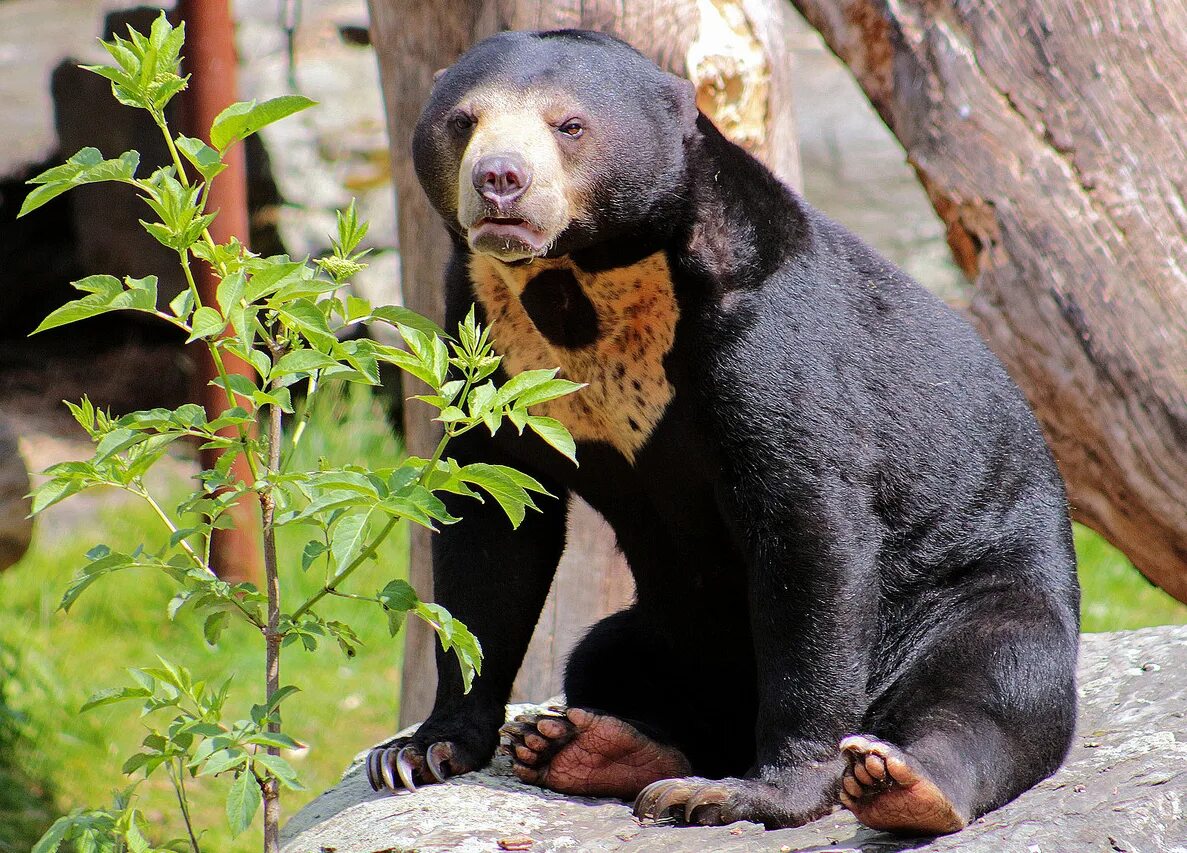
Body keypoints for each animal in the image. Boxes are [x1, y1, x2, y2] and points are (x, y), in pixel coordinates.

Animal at [363, 29, 1087, 835]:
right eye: (463, 122)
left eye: (569, 125)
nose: (498, 180)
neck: (577, 281)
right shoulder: (484, 332)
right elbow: (489, 523)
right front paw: (418, 751)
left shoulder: (764, 332)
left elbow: (808, 524)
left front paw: (762, 792)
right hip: (667, 632)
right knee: (606, 661)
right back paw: (579, 745)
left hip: (975, 587)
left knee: (994, 682)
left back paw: (899, 781)